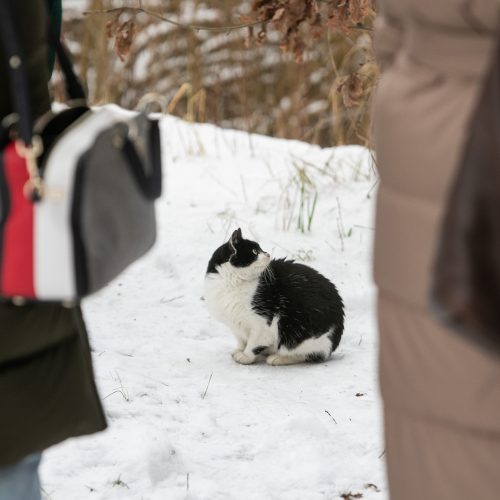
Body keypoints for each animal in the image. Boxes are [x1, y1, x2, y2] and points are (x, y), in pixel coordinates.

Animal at [203, 229, 344, 366]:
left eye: (260, 249)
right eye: (254, 251)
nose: (268, 254)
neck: (231, 284)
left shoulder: (263, 323)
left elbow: (253, 344)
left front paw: (245, 356)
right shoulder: (235, 324)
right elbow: (241, 340)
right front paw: (239, 350)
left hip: (303, 336)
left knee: (308, 354)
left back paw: (278, 358)